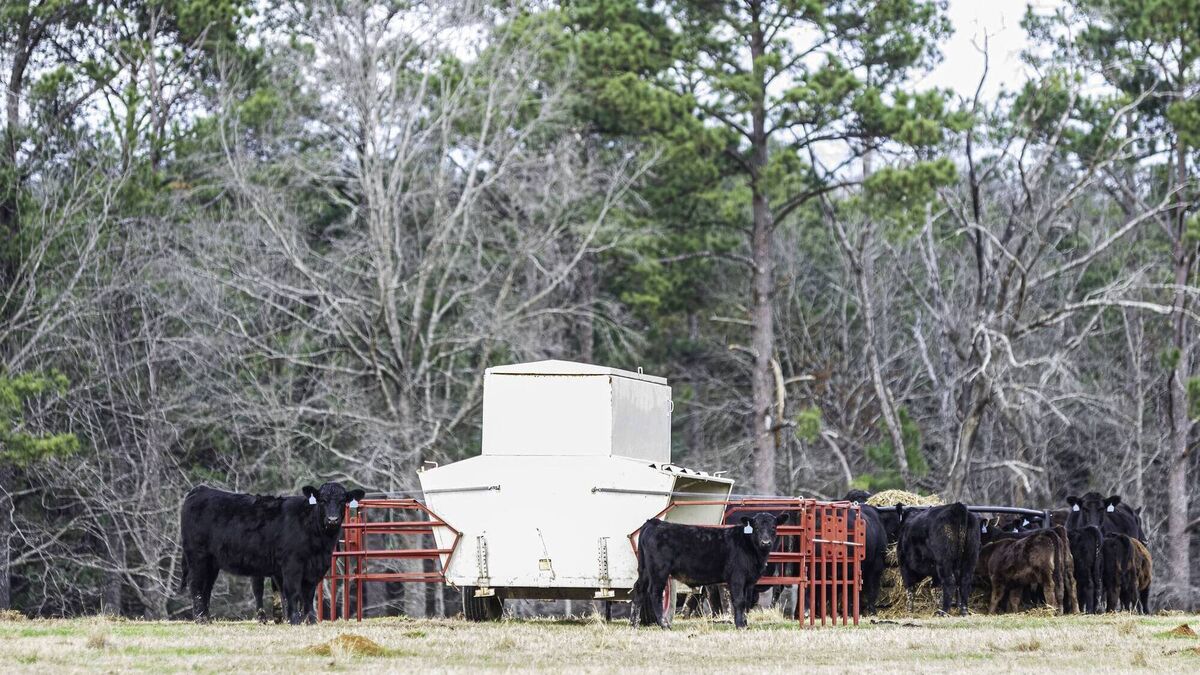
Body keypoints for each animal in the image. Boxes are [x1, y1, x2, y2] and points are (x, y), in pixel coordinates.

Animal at [179, 482, 365, 624]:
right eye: (322, 500)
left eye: (343, 501)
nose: (332, 520)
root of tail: (200, 489)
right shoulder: (292, 564)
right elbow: (293, 591)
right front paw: (294, 620)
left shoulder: (314, 567)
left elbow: (308, 593)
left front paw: (310, 620)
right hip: (197, 556)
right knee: (196, 585)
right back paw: (200, 619)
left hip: (212, 562)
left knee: (206, 587)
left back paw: (207, 618)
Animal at [630, 512, 788, 629]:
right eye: (756, 527)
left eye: (774, 527)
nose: (765, 542)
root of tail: (654, 522)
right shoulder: (737, 577)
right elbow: (739, 601)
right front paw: (740, 625)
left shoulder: (750, 581)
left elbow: (747, 602)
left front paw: (745, 623)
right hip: (659, 570)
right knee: (655, 593)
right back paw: (664, 624)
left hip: (644, 570)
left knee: (639, 589)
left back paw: (634, 624)